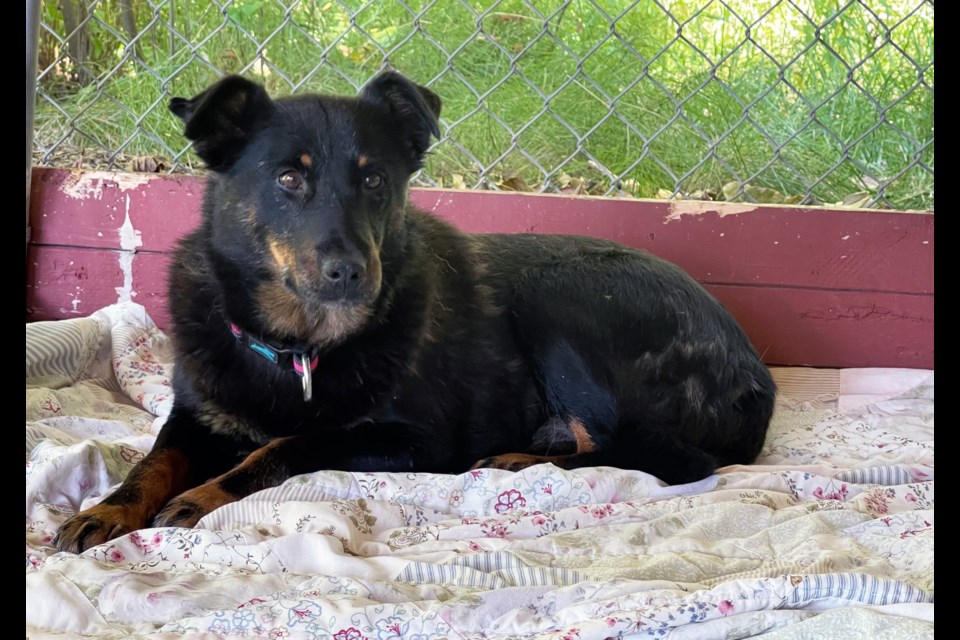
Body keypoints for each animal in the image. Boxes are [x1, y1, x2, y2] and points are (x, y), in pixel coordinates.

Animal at [52, 72, 776, 556]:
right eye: (288, 178)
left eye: (374, 180)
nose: (351, 272)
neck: (302, 347)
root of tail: (757, 376)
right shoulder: (195, 417)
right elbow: (150, 464)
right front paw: (108, 510)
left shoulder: (414, 440)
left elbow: (288, 444)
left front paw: (203, 496)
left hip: (559, 292)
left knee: (648, 451)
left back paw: (517, 460)